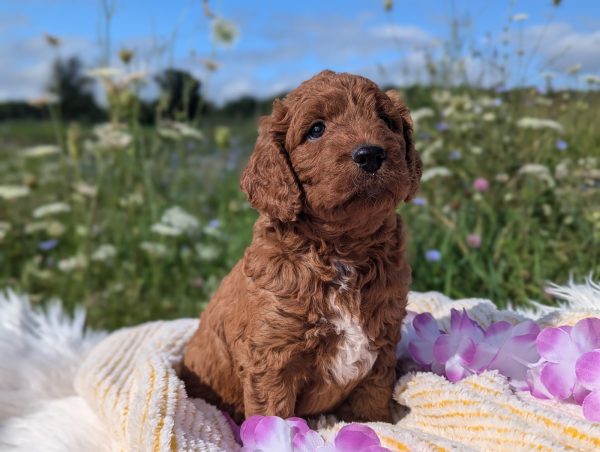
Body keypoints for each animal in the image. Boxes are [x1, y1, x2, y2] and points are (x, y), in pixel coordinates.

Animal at [183, 69, 422, 424]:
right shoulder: (272, 358)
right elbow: (273, 415)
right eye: (316, 129)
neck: (342, 250)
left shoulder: (382, 346)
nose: (371, 154)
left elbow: (372, 406)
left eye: (385, 120)